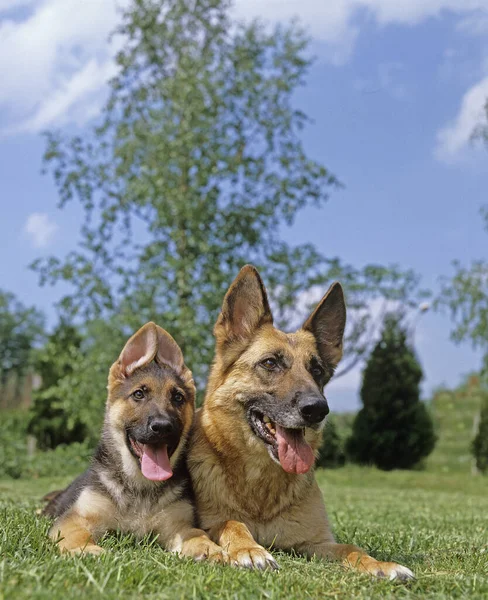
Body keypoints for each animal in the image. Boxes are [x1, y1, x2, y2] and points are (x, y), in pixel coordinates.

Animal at [43, 324, 224, 564]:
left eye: (178, 397)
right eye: (139, 394)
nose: (162, 427)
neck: (140, 487)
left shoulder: (178, 526)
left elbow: (196, 534)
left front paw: (209, 547)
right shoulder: (76, 518)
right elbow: (75, 534)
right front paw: (86, 549)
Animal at [189, 264, 414, 580]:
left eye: (316, 370)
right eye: (270, 363)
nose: (317, 409)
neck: (261, 490)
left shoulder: (315, 543)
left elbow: (351, 548)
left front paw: (380, 564)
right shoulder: (214, 521)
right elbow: (232, 523)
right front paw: (249, 549)